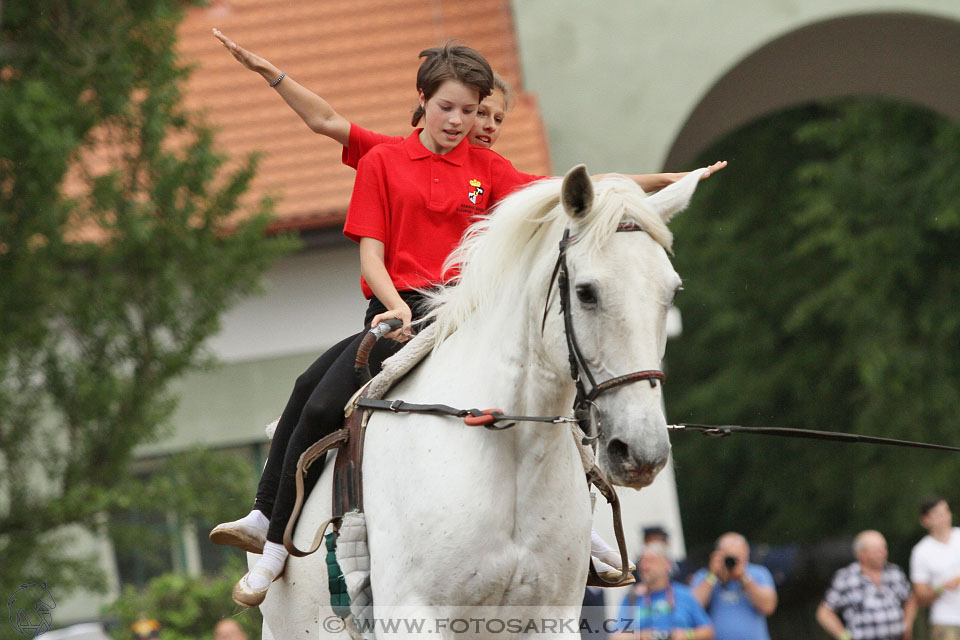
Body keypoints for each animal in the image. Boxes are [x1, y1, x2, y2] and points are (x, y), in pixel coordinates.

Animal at [255, 166, 704, 640]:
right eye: (586, 292)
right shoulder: (414, 615)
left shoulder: (553, 618)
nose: (640, 452)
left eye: (672, 292)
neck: (512, 452)